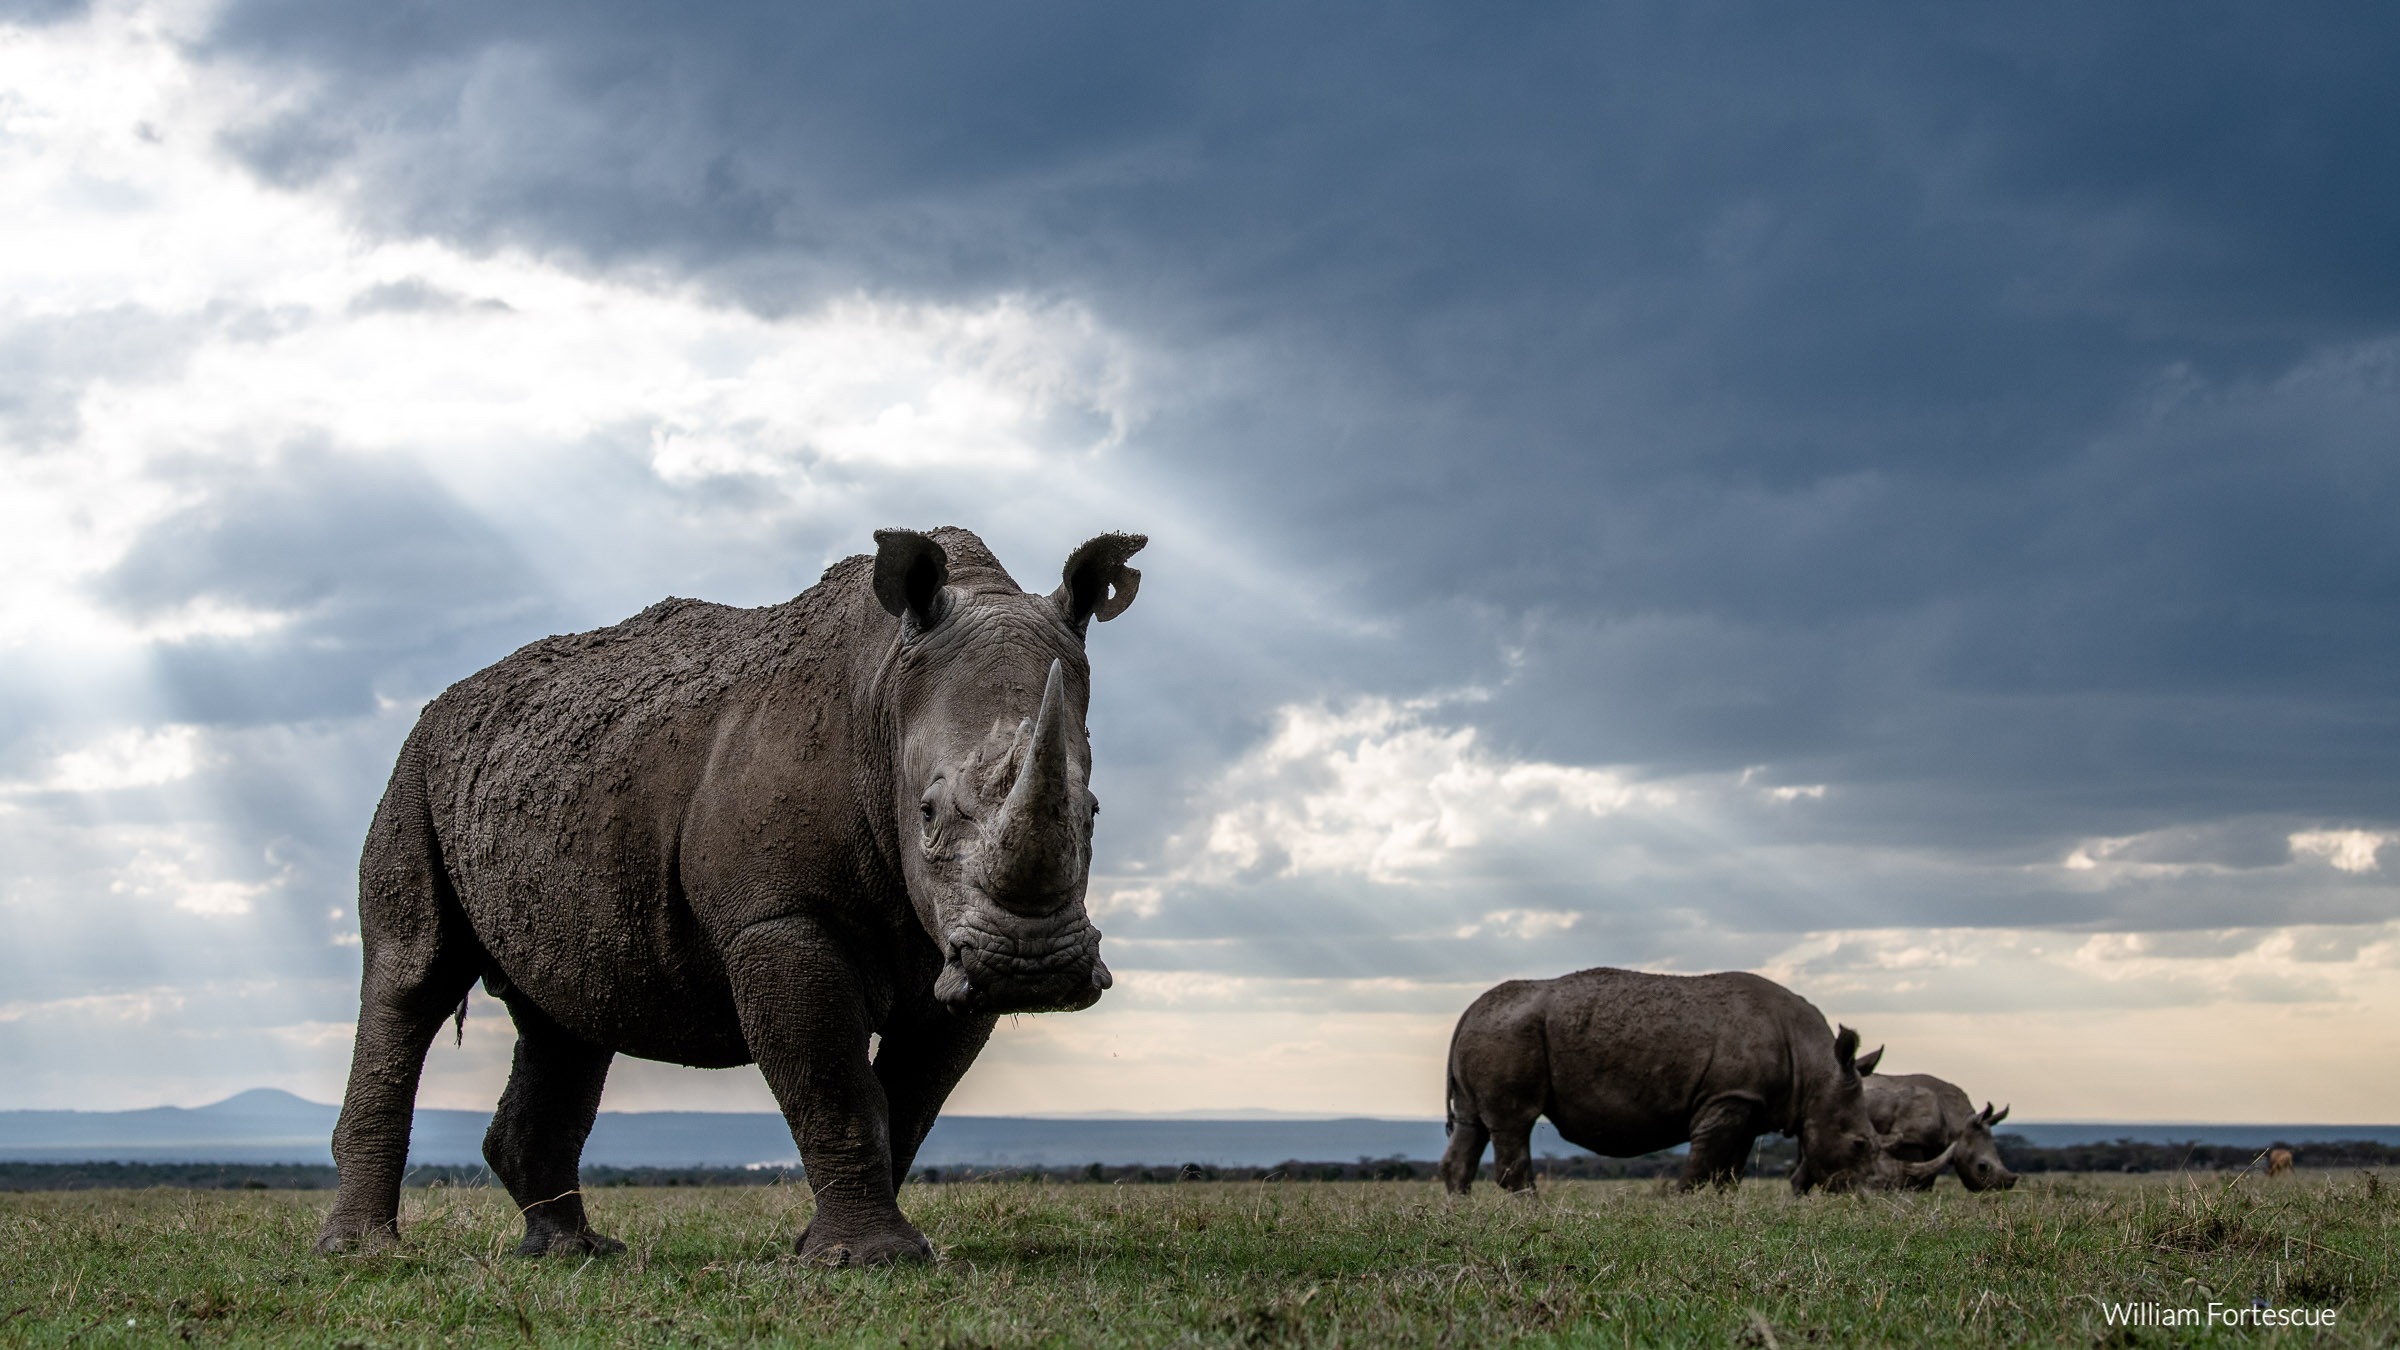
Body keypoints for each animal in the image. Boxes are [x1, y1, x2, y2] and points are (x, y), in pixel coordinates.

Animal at [314, 527, 1144, 1265]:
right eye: (930, 814)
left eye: (1093, 812)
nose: (1032, 969)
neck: (885, 693)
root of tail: (443, 707)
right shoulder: (778, 917)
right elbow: (836, 1086)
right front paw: (867, 1260)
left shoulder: (951, 949)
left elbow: (907, 1102)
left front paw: (829, 1249)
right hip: (415, 768)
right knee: (411, 977)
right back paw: (365, 1254)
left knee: (567, 1016)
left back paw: (571, 1253)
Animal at [1440, 968, 1956, 1194]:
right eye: (1859, 1145)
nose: (1882, 1195)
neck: (1817, 1070)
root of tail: (1466, 1012)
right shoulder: (1727, 1097)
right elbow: (1705, 1157)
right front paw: (1679, 1200)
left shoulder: (1750, 1102)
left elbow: (1731, 1167)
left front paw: (1722, 1205)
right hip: (1508, 1033)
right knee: (1515, 1122)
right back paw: (1530, 1206)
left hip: (1493, 1030)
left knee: (1472, 1124)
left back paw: (1461, 1210)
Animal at [1861, 1071, 2017, 1191]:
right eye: (1982, 1167)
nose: (2003, 1186)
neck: (1958, 1124)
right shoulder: (1909, 1140)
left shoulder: (1934, 1144)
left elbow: (1929, 1173)